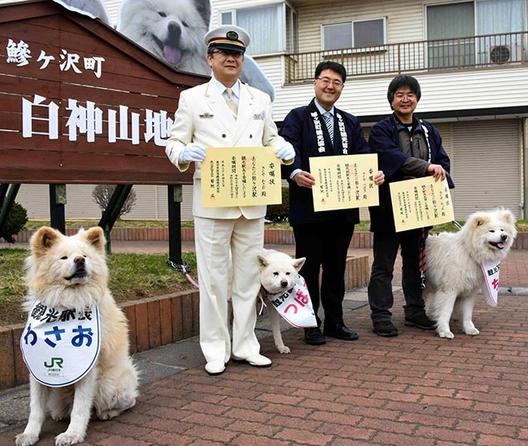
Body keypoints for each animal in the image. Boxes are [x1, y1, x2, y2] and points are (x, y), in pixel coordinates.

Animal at [16, 228, 139, 444]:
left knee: (127, 401)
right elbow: (36, 408)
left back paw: (107, 413)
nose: (80, 260)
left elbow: (80, 408)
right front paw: (29, 434)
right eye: (64, 257)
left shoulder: (87, 369)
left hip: (107, 385)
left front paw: (72, 434)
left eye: (85, 255)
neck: (68, 303)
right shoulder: (37, 369)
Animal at [424, 209, 516, 338]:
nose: (504, 237)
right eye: (491, 231)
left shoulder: (470, 291)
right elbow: (446, 311)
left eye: (502, 230)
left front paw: (469, 329)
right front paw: (445, 331)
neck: (470, 252)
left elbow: (467, 314)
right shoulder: (449, 290)